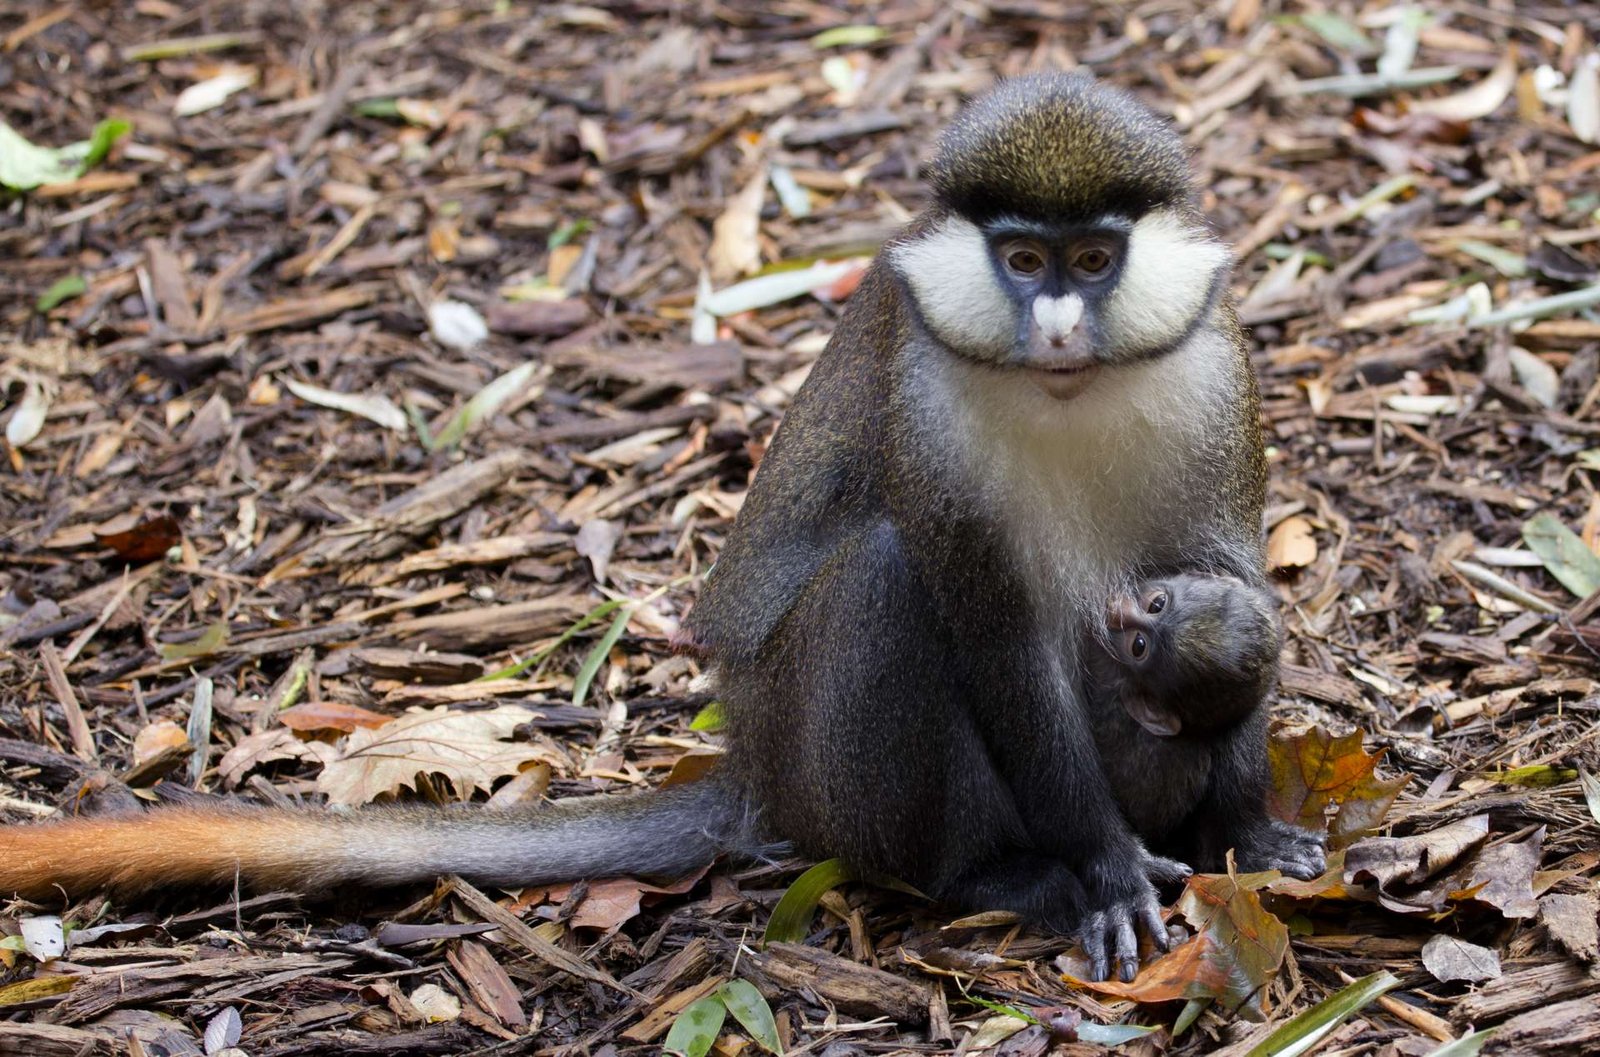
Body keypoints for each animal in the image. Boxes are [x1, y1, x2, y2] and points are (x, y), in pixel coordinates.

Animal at [0, 71, 1324, 978]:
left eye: (1094, 260)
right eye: (1026, 260)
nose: (1053, 326)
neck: (1067, 393)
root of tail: (755, 773)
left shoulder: (1222, 382)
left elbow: (1230, 582)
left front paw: (1249, 829)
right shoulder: (930, 421)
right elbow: (990, 637)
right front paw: (1102, 873)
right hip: (818, 768)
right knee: (887, 581)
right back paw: (990, 875)